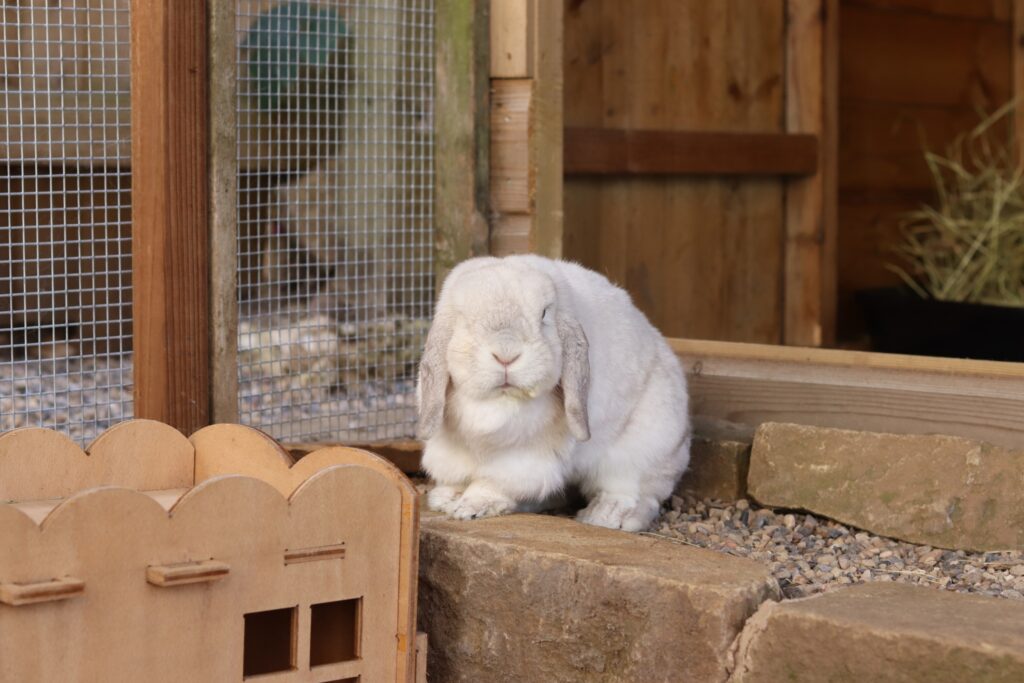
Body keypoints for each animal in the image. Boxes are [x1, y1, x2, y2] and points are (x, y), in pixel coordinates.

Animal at [416, 254, 691, 532]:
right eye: (463, 318)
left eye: (544, 314)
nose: (506, 355)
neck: (497, 403)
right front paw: (447, 497)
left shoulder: (520, 459)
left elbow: (496, 482)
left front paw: (472, 505)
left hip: (644, 448)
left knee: (638, 493)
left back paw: (607, 515)